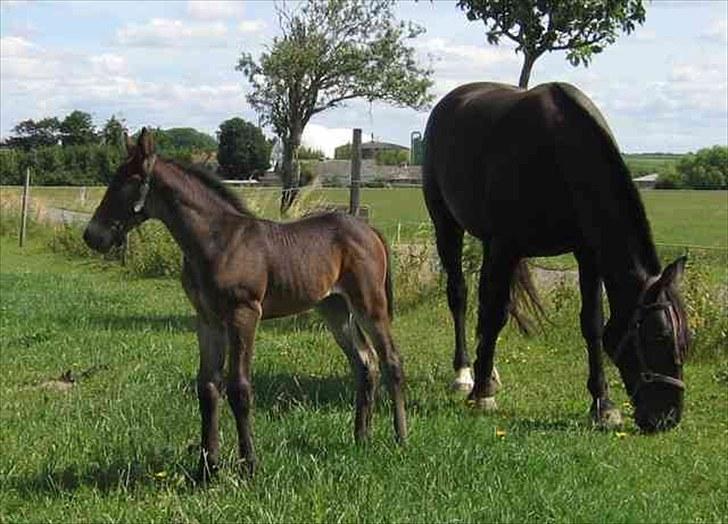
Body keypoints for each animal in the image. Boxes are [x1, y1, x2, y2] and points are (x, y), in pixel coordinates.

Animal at [84, 130, 410, 478]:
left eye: (129, 180)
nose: (92, 236)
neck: (217, 240)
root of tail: (369, 229)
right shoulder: (207, 319)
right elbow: (208, 387)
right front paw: (207, 467)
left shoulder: (244, 314)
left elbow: (239, 387)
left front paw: (249, 465)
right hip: (335, 309)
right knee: (365, 363)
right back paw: (361, 437)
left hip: (369, 304)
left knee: (391, 360)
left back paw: (400, 437)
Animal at [420, 82, 688, 432]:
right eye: (659, 337)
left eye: (686, 338)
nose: (667, 418)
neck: (559, 153)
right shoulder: (505, 246)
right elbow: (494, 315)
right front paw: (481, 396)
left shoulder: (587, 253)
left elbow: (592, 324)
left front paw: (603, 405)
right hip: (447, 225)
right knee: (460, 295)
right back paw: (465, 374)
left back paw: (488, 372)